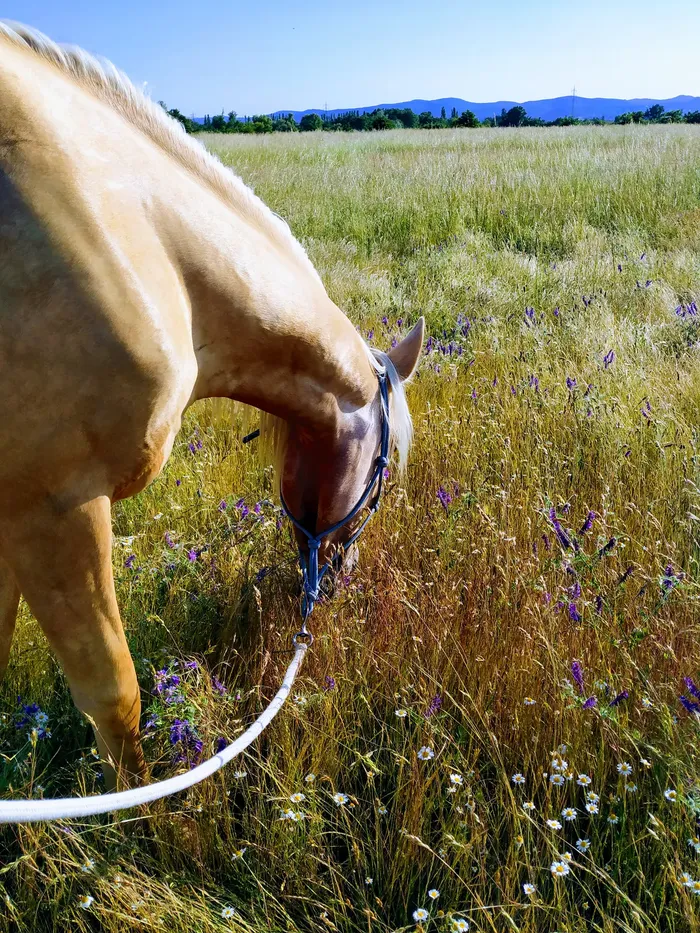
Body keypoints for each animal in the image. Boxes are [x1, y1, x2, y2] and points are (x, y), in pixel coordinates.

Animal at [0, 22, 424, 788]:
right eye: (385, 470)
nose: (337, 577)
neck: (140, 235)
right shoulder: (52, 509)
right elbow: (115, 696)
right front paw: (140, 808)